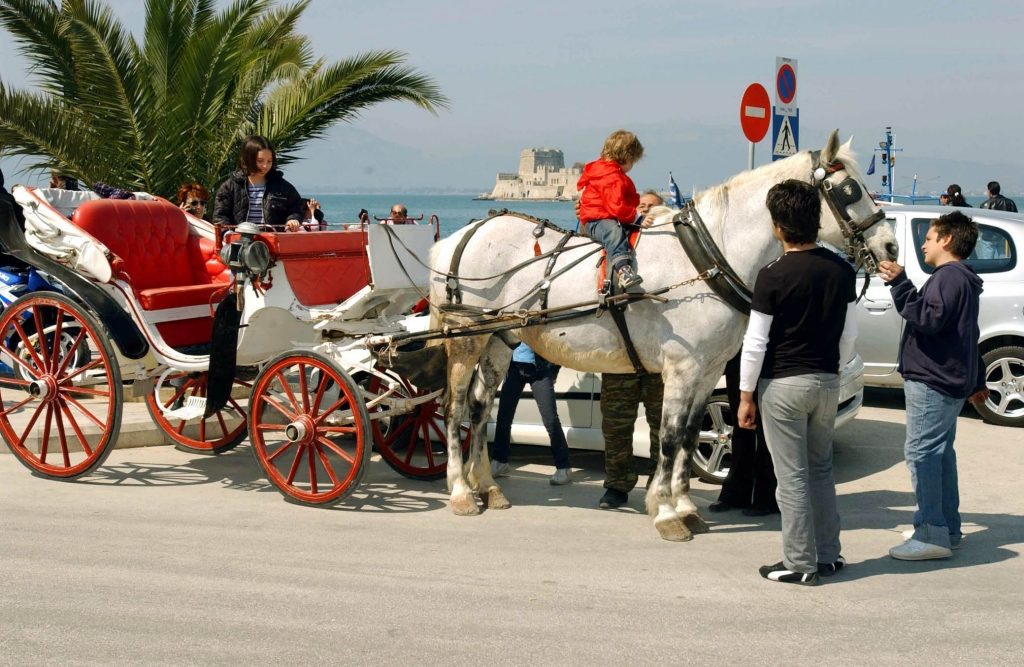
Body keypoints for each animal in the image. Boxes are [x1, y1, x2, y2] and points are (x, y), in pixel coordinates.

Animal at [428, 132, 901, 540]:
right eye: (849, 190)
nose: (891, 248)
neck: (706, 258)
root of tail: (461, 235)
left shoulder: (707, 371)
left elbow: (690, 436)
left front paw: (685, 506)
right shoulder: (682, 368)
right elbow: (670, 436)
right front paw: (668, 513)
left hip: (498, 340)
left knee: (480, 407)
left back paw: (486, 485)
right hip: (467, 338)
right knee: (454, 409)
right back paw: (460, 491)